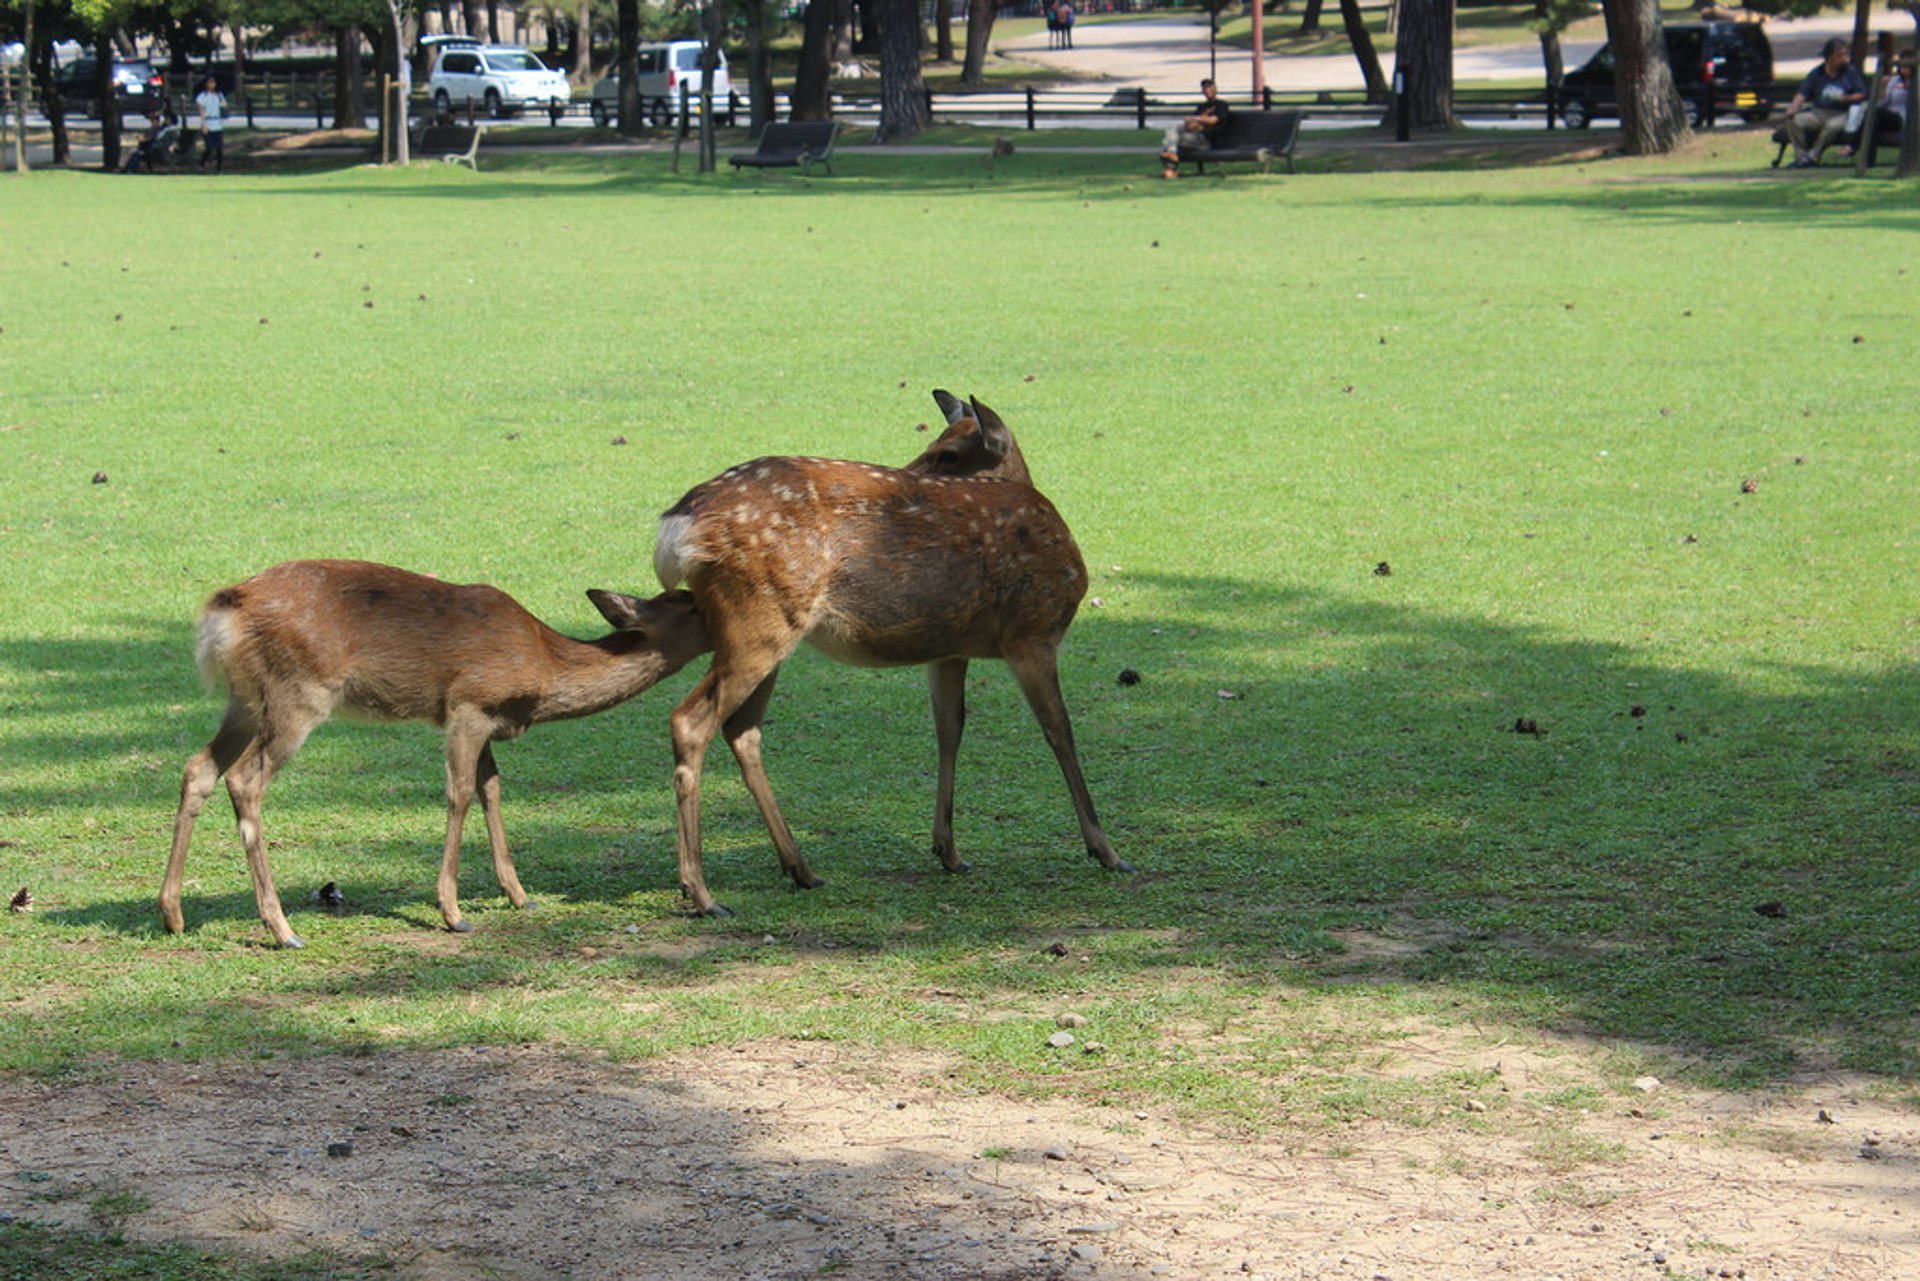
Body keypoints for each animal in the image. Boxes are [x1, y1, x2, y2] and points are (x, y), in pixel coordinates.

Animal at [161, 564, 710, 952]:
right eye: (689, 604)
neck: (544, 666)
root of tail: (223, 611)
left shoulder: (489, 719)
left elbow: (492, 788)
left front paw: (519, 894)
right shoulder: (468, 704)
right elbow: (460, 792)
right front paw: (453, 912)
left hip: (246, 700)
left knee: (199, 767)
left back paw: (173, 914)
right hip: (299, 693)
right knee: (244, 779)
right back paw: (283, 929)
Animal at [648, 386, 1121, 918]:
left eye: (948, 453)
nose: (908, 473)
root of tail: (675, 530)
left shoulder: (950, 649)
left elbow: (950, 730)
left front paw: (948, 850)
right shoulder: (1033, 633)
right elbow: (1060, 732)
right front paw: (1105, 850)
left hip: (764, 628)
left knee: (741, 730)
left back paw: (800, 869)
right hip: (759, 620)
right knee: (691, 721)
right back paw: (702, 892)